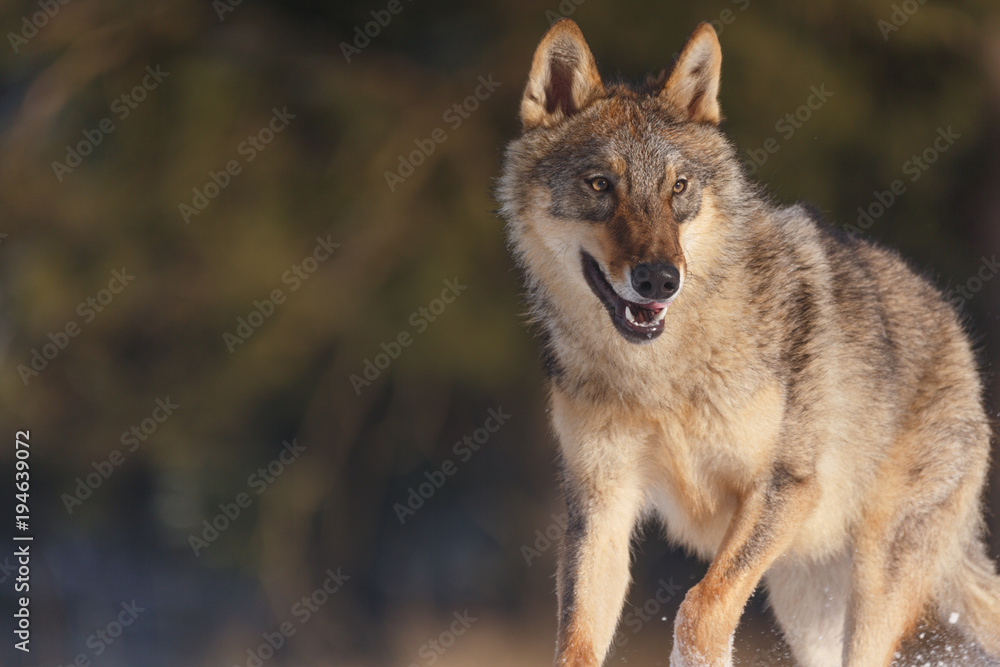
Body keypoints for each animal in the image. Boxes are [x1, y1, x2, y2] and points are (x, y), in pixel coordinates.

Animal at [497, 19, 1000, 667]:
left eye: (679, 187)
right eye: (600, 185)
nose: (659, 279)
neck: (662, 372)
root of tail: (955, 330)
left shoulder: (780, 487)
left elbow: (700, 610)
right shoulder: (600, 507)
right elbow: (578, 644)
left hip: (872, 584)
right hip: (805, 603)